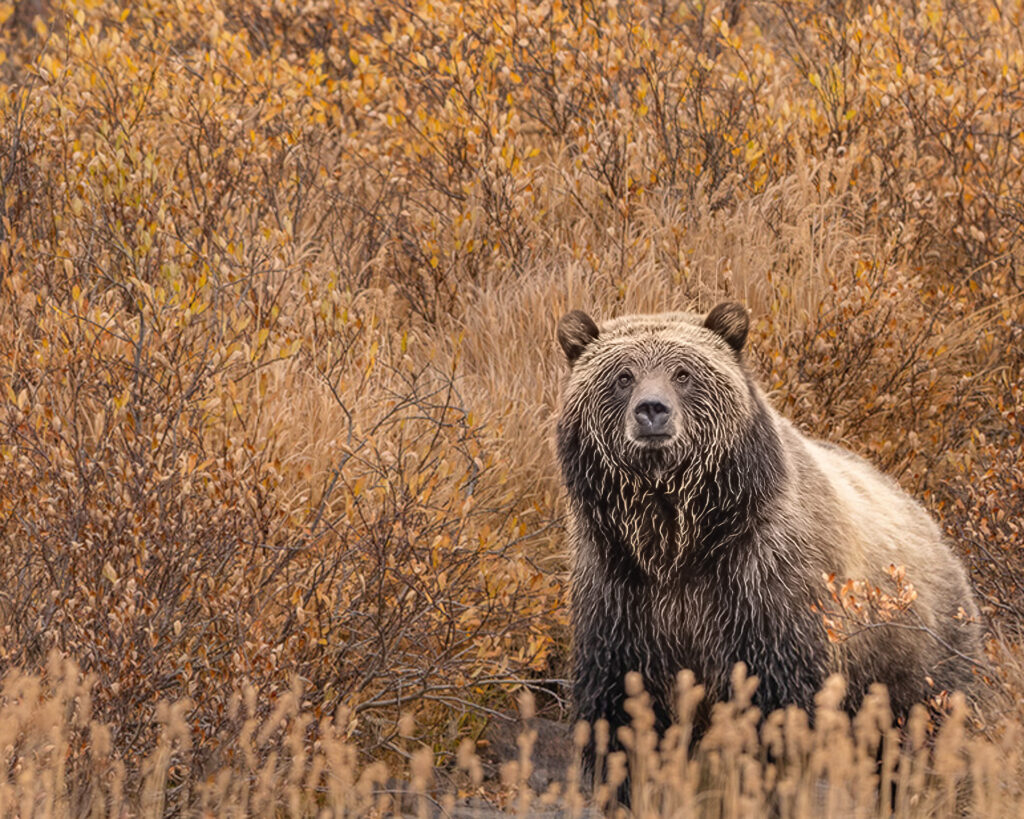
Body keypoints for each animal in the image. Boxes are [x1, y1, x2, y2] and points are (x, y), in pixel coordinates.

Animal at [555, 303, 982, 786]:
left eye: (683, 373)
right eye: (623, 375)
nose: (652, 411)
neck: (676, 540)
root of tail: (933, 524)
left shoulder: (762, 584)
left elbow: (780, 707)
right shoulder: (619, 591)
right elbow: (620, 713)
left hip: (924, 660)